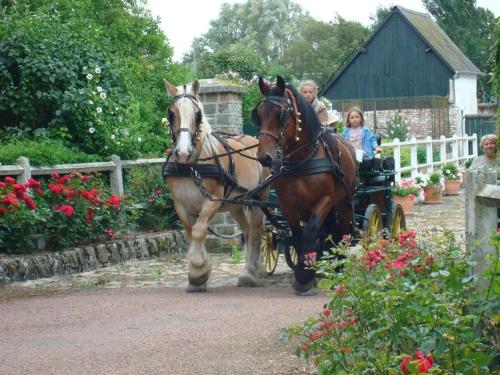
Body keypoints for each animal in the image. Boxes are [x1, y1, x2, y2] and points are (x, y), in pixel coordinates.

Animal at [163, 78, 270, 290]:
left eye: (198, 114)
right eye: (171, 113)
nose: (183, 153)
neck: (191, 166)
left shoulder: (212, 201)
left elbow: (199, 231)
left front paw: (198, 270)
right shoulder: (181, 205)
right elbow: (191, 233)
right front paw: (197, 275)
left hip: (258, 199)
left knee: (256, 231)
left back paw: (252, 272)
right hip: (236, 205)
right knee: (247, 230)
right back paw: (249, 268)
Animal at [254, 76, 356, 296]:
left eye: (281, 114)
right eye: (259, 114)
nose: (265, 157)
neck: (303, 160)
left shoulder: (325, 200)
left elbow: (310, 231)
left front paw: (305, 274)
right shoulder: (288, 205)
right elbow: (298, 234)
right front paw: (306, 273)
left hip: (344, 200)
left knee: (343, 230)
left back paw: (339, 266)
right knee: (327, 231)